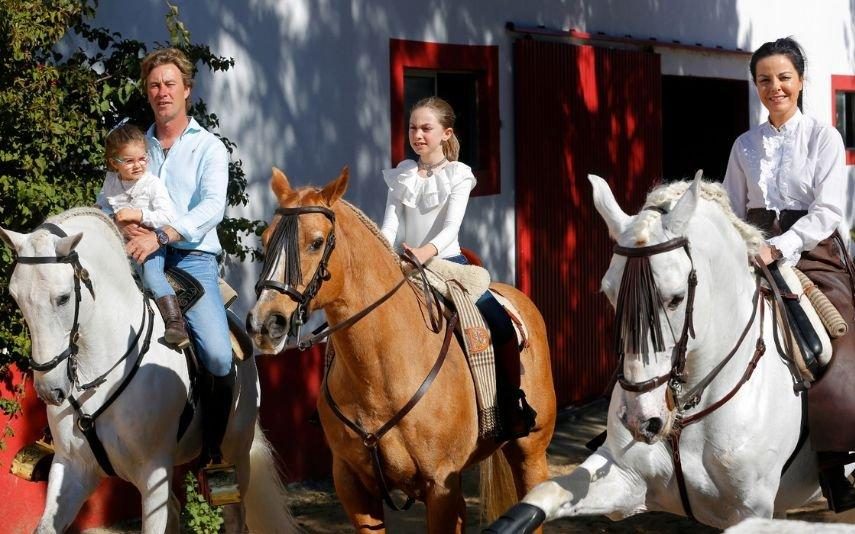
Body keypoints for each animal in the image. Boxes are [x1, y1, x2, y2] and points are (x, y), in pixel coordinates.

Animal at [1, 209, 298, 534]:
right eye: (15, 297)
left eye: (64, 298)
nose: (49, 389)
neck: (102, 372)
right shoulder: (72, 467)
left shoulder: (154, 473)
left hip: (236, 453)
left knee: (234, 514)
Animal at [246, 170, 560, 532]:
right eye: (265, 241)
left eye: (316, 242)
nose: (264, 323)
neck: (380, 372)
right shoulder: (353, 486)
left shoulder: (440, 486)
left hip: (530, 453)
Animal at [488, 175, 836, 532]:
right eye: (610, 294)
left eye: (676, 298)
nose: (642, 421)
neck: (685, 415)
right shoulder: (625, 478)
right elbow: (544, 495)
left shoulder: (751, 511)